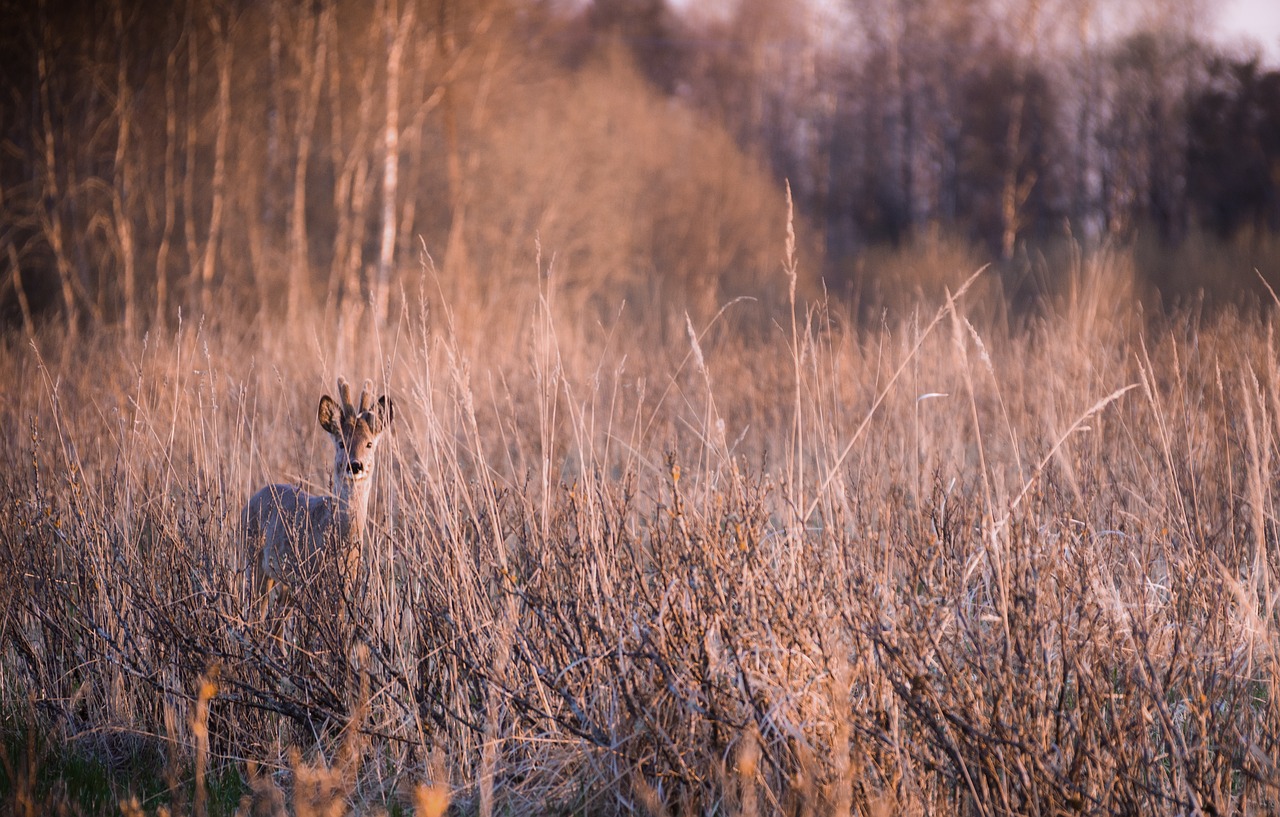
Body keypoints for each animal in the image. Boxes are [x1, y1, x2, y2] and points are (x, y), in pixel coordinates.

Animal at [243, 379, 391, 619]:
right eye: (341, 443)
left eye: (369, 443)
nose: (355, 465)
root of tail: (249, 502)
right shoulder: (312, 579)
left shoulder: (344, 585)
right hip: (254, 562)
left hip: (286, 584)